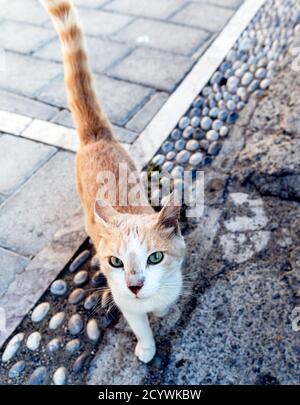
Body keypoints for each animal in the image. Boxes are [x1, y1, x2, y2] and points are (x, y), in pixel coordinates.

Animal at [39, 0, 185, 362]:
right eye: (115, 262)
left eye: (155, 257)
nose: (134, 285)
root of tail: (96, 136)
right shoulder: (124, 301)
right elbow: (140, 323)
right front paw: (147, 346)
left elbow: (165, 304)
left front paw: (161, 312)